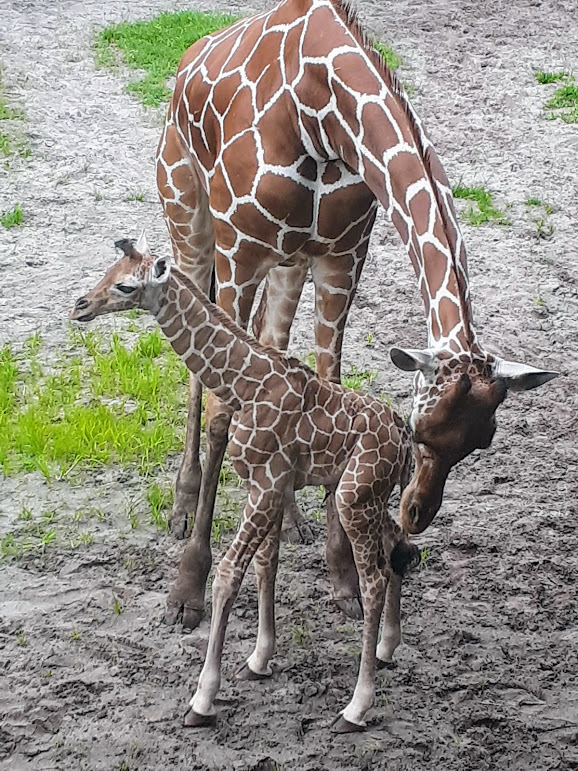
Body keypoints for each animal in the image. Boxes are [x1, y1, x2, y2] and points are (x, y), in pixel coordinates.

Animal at [70, 235, 421, 732]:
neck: (244, 384)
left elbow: (228, 574)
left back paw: (355, 708)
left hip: (354, 497)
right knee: (397, 550)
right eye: (108, 270)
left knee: (372, 580)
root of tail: (405, 440)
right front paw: (258, 660)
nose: (80, 305)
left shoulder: (268, 485)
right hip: (368, 494)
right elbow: (264, 566)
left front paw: (202, 700)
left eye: (124, 285)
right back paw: (389, 648)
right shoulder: (269, 485)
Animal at [156, 0, 557, 629]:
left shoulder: (341, 254)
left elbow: (329, 381)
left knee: (272, 348)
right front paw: (187, 590)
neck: (319, 114)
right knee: (202, 370)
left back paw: (287, 517)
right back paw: (181, 505)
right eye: (417, 431)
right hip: (189, 219)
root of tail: (186, 64)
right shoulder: (240, 248)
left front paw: (342, 575)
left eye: (482, 442)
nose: (416, 515)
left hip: (288, 260)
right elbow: (222, 410)